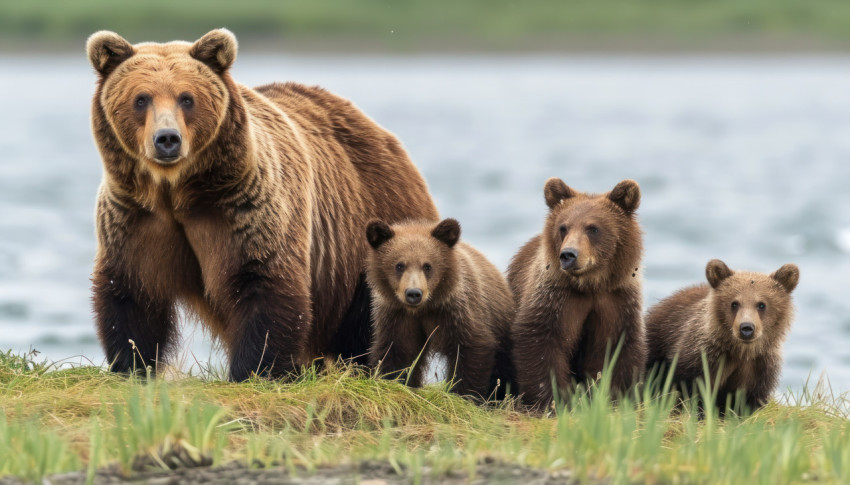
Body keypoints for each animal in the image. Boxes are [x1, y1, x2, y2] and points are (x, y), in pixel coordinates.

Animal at [86, 29, 438, 378]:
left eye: (186, 98)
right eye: (141, 98)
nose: (167, 139)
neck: (176, 191)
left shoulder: (241, 206)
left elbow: (263, 280)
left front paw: (256, 368)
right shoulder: (135, 216)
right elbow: (131, 290)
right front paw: (132, 363)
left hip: (374, 230)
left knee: (375, 315)